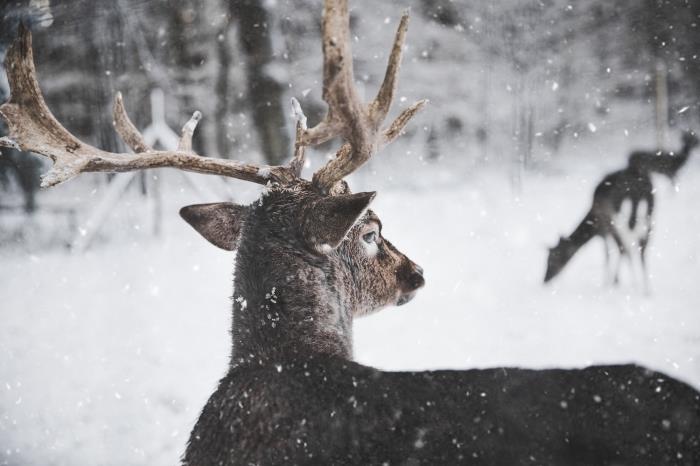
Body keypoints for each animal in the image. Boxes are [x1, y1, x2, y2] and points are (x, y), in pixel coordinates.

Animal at [544, 131, 696, 292]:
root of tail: (639, 190)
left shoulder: (605, 227)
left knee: (628, 246)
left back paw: (633, 283)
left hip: (621, 217)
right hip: (649, 213)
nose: (545, 280)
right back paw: (646, 289)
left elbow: (609, 253)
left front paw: (610, 282)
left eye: (552, 258)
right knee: (642, 247)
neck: (593, 221)